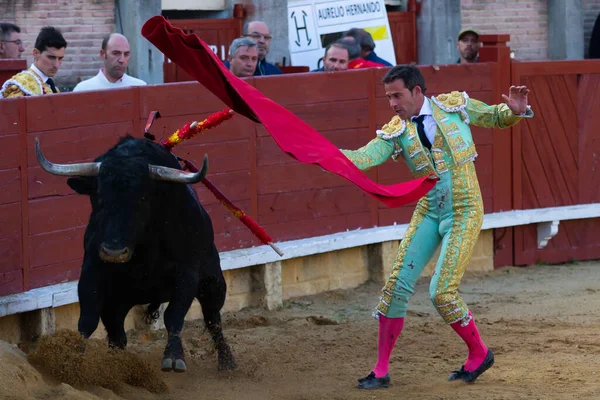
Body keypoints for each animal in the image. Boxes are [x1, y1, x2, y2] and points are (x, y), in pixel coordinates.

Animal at [34, 137, 237, 372]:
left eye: (142, 199)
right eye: (99, 197)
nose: (113, 252)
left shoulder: (188, 272)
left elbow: (174, 315)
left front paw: (174, 357)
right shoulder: (91, 271)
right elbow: (87, 320)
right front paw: (71, 359)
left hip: (214, 282)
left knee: (213, 319)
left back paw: (227, 362)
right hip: (117, 301)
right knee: (117, 334)